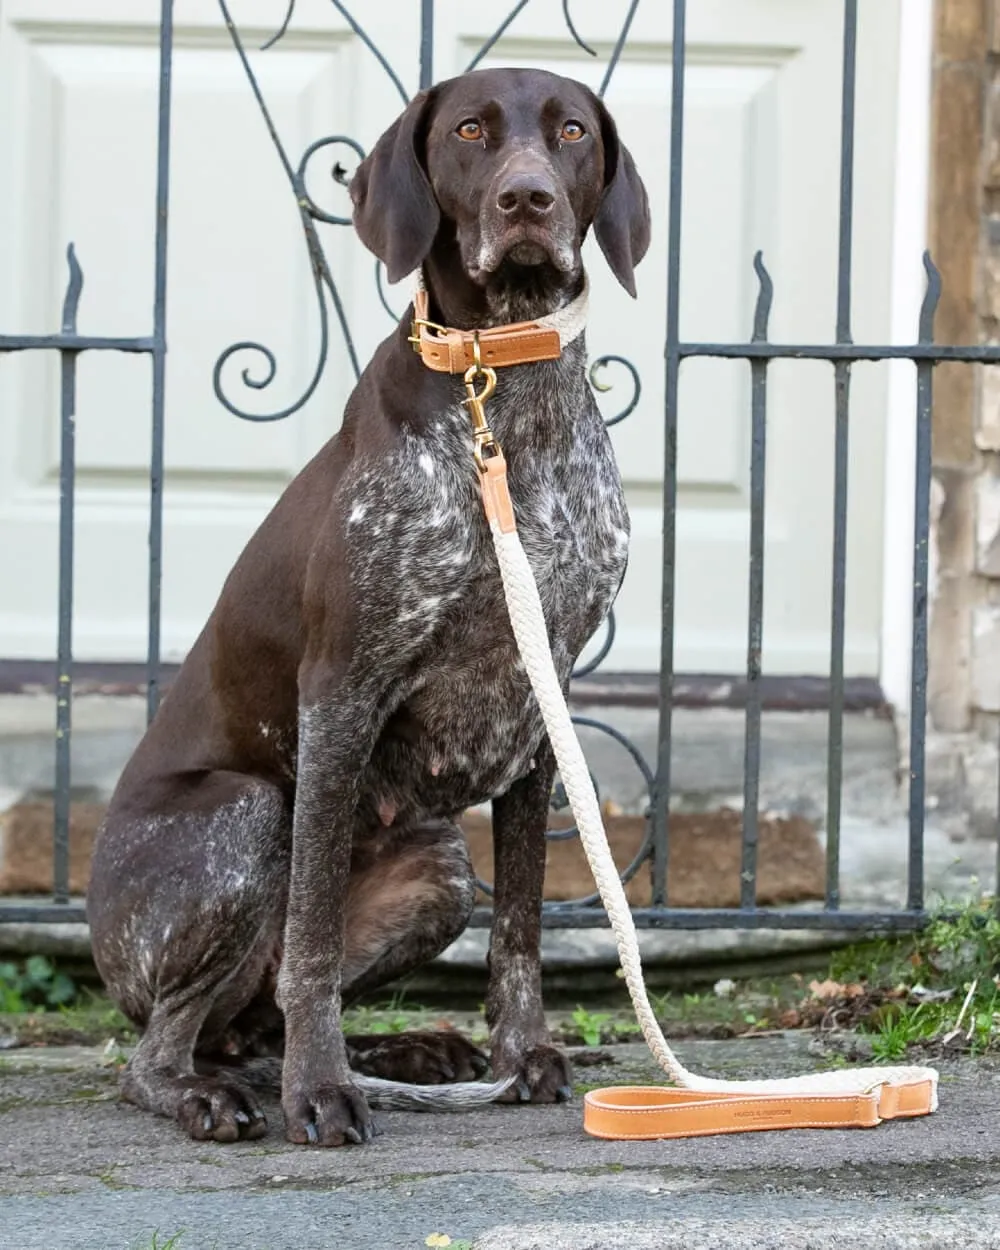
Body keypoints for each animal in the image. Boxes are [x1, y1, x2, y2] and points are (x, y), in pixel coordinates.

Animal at [86, 65, 650, 1145]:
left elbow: (520, 925)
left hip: (438, 867)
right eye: (471, 130)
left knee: (248, 1023)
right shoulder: (342, 688)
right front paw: (319, 1089)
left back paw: (410, 1052)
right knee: (160, 1051)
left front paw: (521, 1056)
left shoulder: (543, 698)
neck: (500, 389)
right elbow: (307, 937)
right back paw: (213, 1094)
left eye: (569, 132)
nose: (528, 201)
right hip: (246, 813)